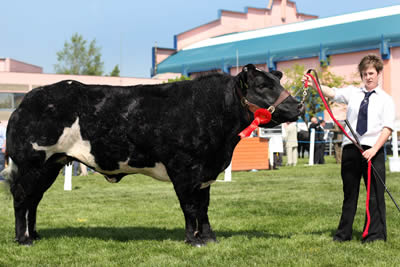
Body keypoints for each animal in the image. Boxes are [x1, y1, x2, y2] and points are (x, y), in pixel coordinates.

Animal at [3, 63, 304, 246]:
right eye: (262, 86)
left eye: (276, 82)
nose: (298, 105)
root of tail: (27, 101)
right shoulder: (183, 168)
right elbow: (190, 206)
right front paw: (193, 239)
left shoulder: (205, 172)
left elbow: (204, 206)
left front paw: (209, 238)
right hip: (32, 163)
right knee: (21, 199)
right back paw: (23, 239)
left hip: (50, 165)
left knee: (34, 201)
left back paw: (35, 234)